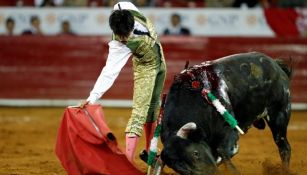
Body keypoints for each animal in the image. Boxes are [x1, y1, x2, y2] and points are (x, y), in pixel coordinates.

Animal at [160, 52, 292, 175]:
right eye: (180, 169)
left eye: (195, 153)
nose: (211, 172)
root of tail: (275, 65)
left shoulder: (228, 130)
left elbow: (222, 151)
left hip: (279, 114)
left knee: (284, 146)